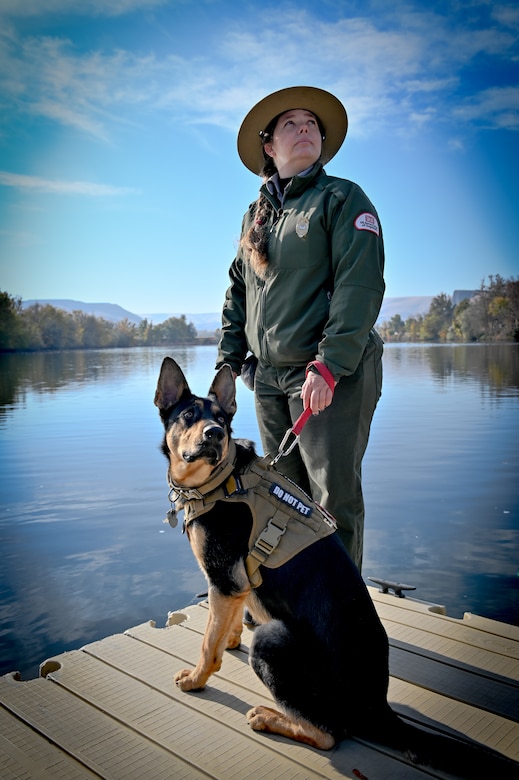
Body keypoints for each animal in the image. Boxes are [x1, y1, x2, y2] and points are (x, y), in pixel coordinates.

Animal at [156, 356, 516, 776]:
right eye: (188, 415)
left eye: (220, 420)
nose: (214, 435)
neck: (223, 477)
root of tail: (377, 708)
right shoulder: (234, 584)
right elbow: (223, 624)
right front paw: (230, 638)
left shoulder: (224, 580)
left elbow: (206, 645)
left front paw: (197, 678)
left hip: (272, 640)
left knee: (329, 733)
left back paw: (269, 717)